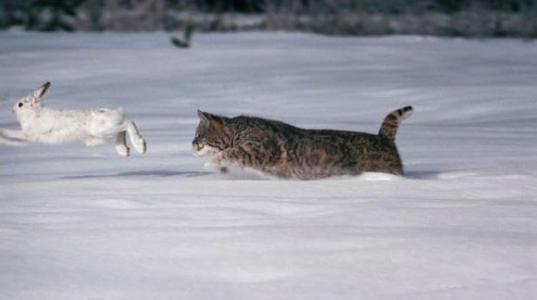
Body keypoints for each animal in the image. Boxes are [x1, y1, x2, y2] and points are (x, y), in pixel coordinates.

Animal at [192, 106, 410, 179]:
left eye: (199, 134)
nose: (192, 144)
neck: (237, 131)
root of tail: (383, 137)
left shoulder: (261, 149)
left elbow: (231, 153)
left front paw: (211, 163)